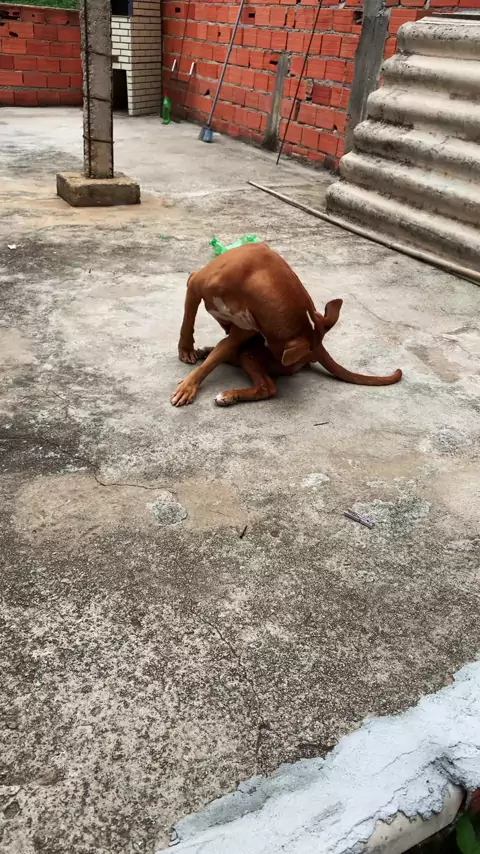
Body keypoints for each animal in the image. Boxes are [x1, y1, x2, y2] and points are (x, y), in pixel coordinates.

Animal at [171, 242, 402, 407]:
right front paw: (186, 350)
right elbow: (187, 323)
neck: (255, 280)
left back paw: (229, 395)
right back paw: (204, 351)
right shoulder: (195, 284)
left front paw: (189, 385)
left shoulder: (244, 331)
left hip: (251, 353)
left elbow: (214, 359)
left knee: (266, 387)